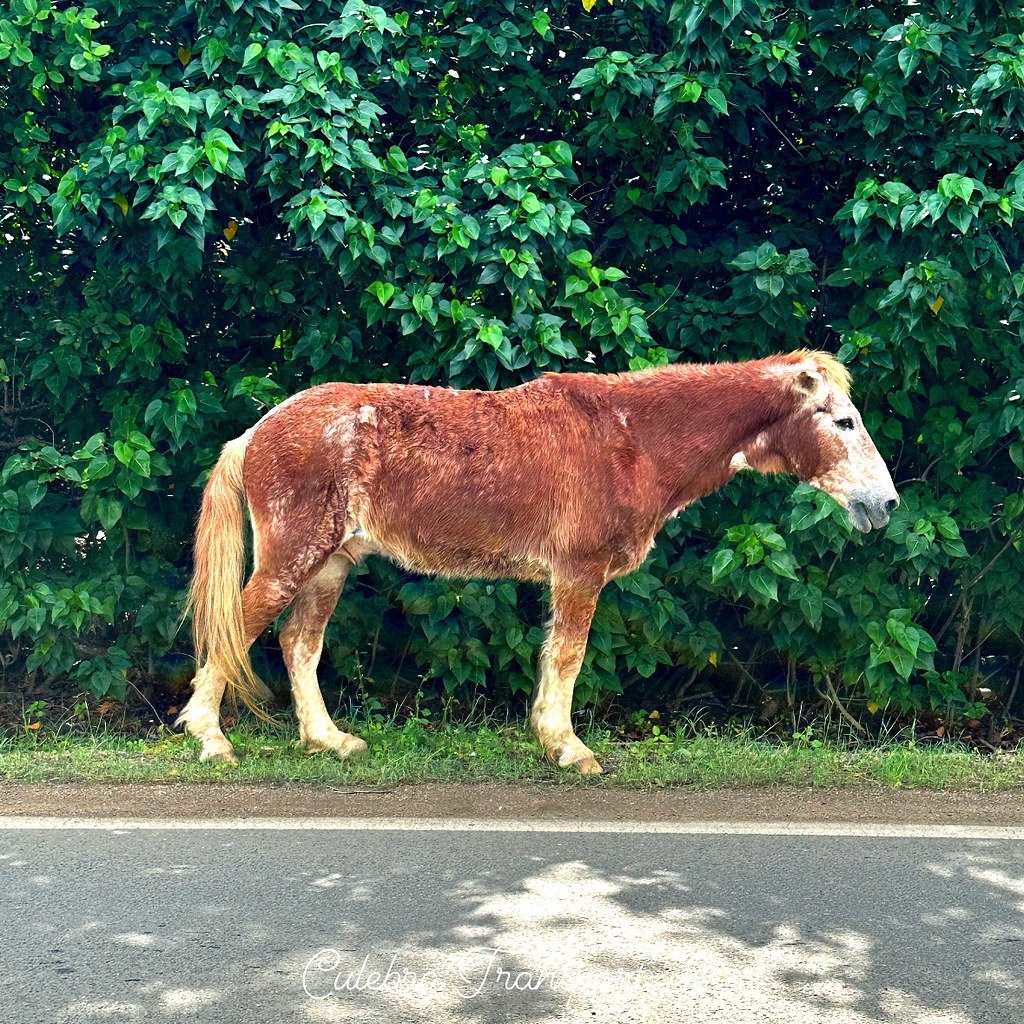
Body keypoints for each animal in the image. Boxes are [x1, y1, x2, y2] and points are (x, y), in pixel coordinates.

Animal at [178, 348, 897, 770]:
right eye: (843, 422)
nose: (885, 502)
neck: (632, 436)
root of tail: (256, 432)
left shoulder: (566, 578)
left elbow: (553, 654)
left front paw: (550, 737)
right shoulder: (579, 573)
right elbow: (569, 656)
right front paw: (568, 747)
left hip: (329, 563)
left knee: (300, 643)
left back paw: (327, 739)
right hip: (292, 559)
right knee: (236, 631)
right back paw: (210, 738)